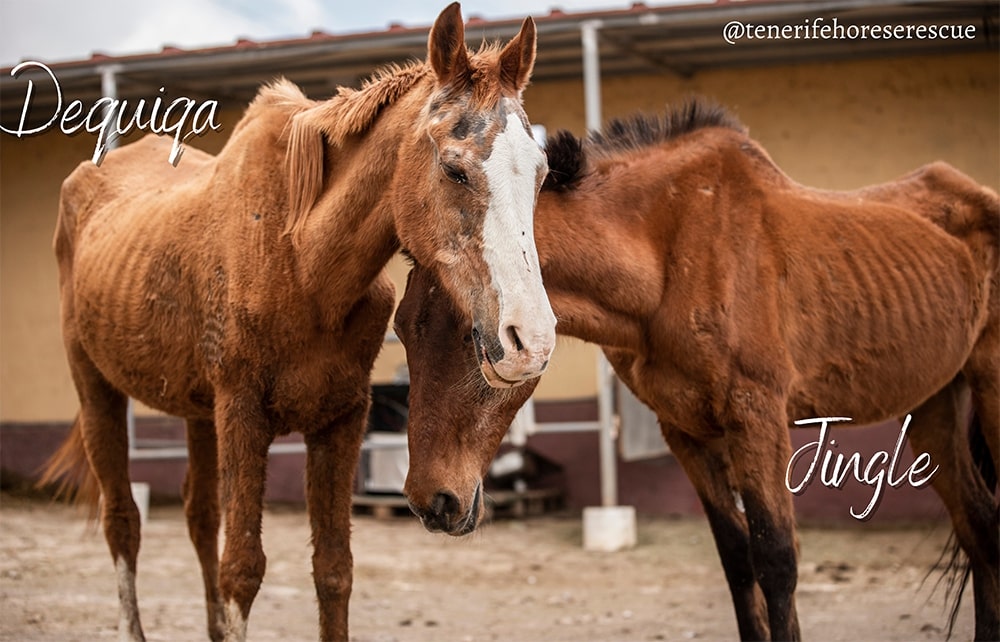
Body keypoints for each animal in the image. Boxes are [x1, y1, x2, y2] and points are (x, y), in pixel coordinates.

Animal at [37, 3, 556, 636]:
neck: (300, 261)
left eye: (541, 173)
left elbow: (333, 569)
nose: (532, 339)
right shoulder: (241, 414)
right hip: (97, 392)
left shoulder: (339, 420)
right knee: (122, 523)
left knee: (199, 517)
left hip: (198, 414)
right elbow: (242, 569)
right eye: (455, 171)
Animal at [394, 102, 996, 636]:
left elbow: (776, 560)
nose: (432, 501)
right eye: (399, 329)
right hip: (933, 405)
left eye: (482, 335)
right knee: (979, 529)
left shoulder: (757, 420)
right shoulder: (688, 434)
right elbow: (737, 562)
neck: (672, 251)